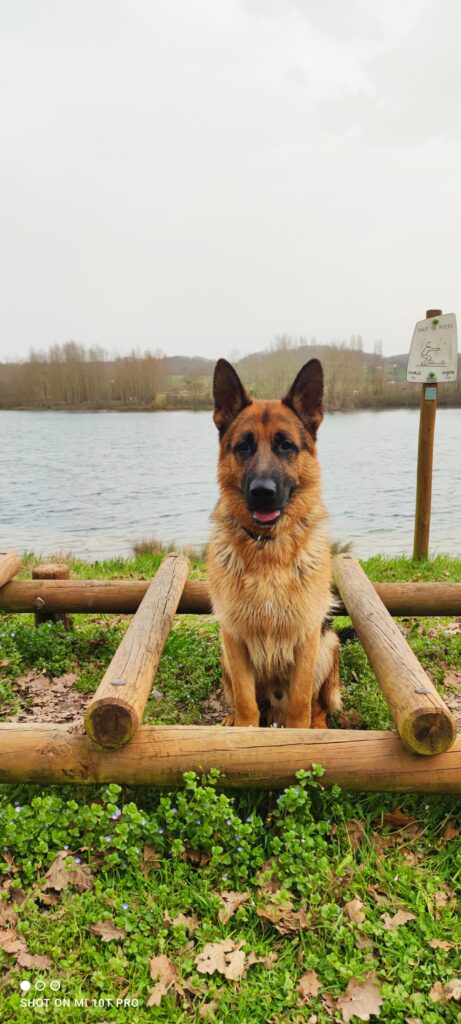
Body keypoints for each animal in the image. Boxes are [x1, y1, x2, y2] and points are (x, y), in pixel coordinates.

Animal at [206, 360, 340, 729]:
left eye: (285, 446)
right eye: (243, 446)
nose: (262, 492)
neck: (267, 549)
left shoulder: (307, 639)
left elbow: (300, 704)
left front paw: (300, 733)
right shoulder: (234, 639)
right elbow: (246, 701)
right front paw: (244, 729)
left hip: (328, 645)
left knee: (318, 705)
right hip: (225, 654)